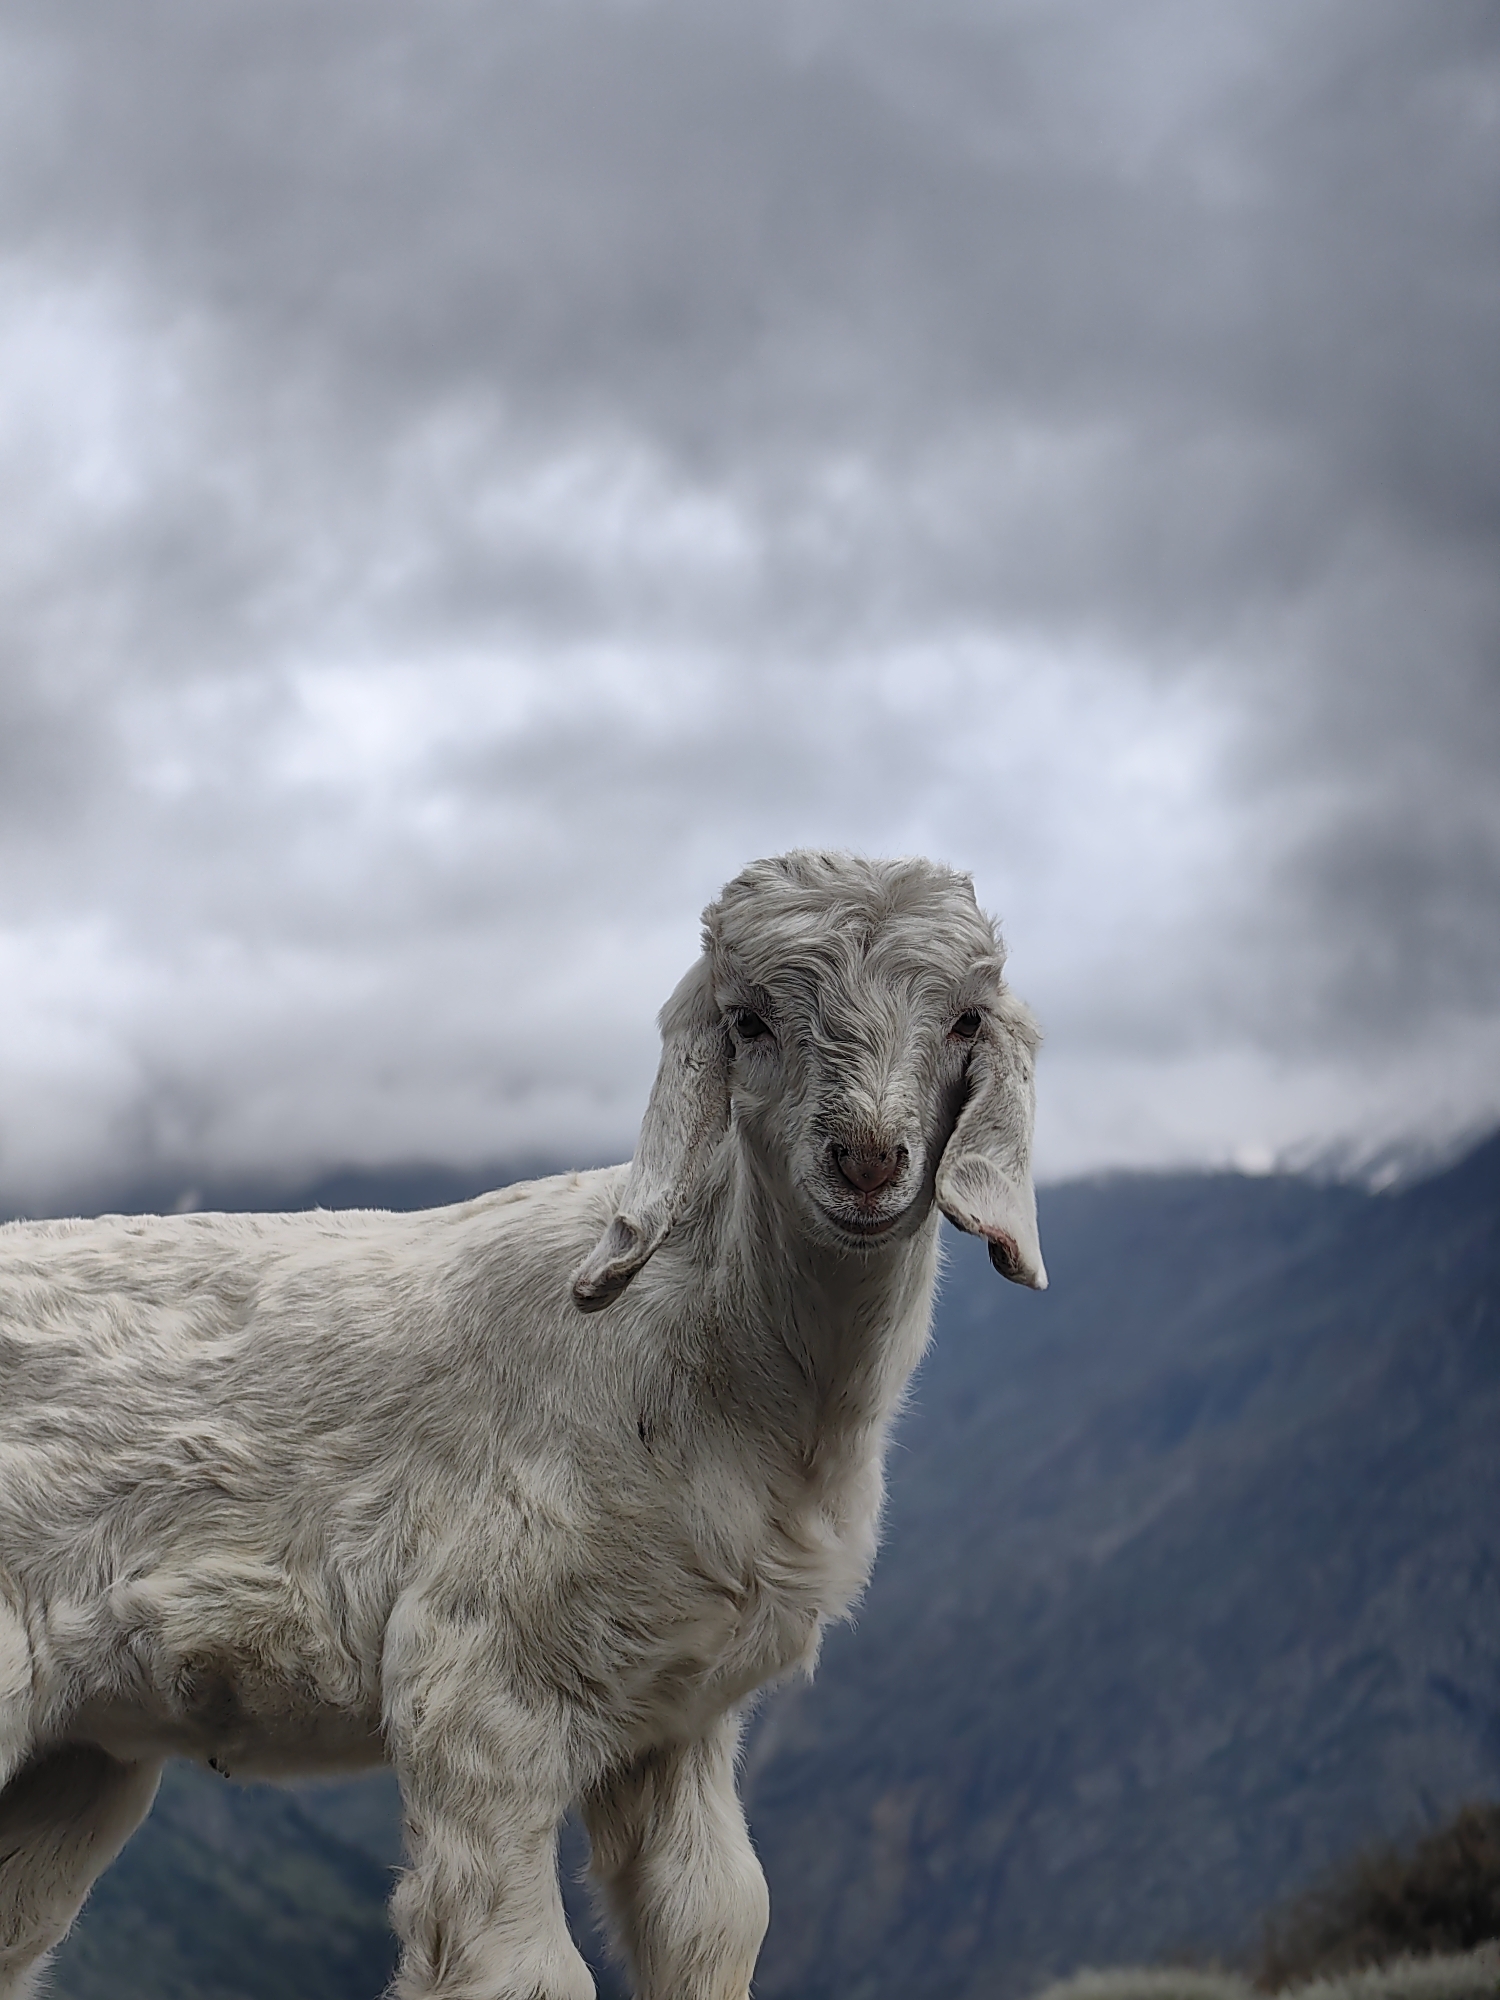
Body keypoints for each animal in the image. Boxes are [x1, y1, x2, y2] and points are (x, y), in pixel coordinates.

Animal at [0, 850, 1044, 2000]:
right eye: (748, 1019)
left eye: (964, 1019)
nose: (865, 1160)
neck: (706, 1351)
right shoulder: (481, 1675)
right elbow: (522, 1970)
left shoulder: (678, 1716)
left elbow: (716, 1917)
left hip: (71, 1760)